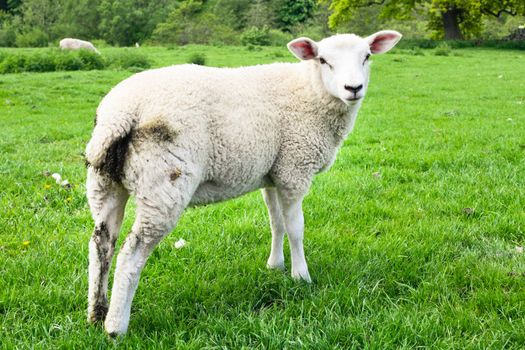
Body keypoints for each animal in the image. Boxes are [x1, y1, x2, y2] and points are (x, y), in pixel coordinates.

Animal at [85, 30, 402, 336]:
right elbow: (296, 228)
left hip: (104, 182)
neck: (310, 91)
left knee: (101, 243)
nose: (353, 88)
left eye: (367, 56)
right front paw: (301, 276)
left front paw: (275, 266)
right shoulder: (295, 169)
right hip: (163, 183)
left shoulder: (273, 173)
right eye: (323, 60)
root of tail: (120, 114)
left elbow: (276, 223)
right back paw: (115, 327)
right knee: (131, 253)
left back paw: (97, 313)